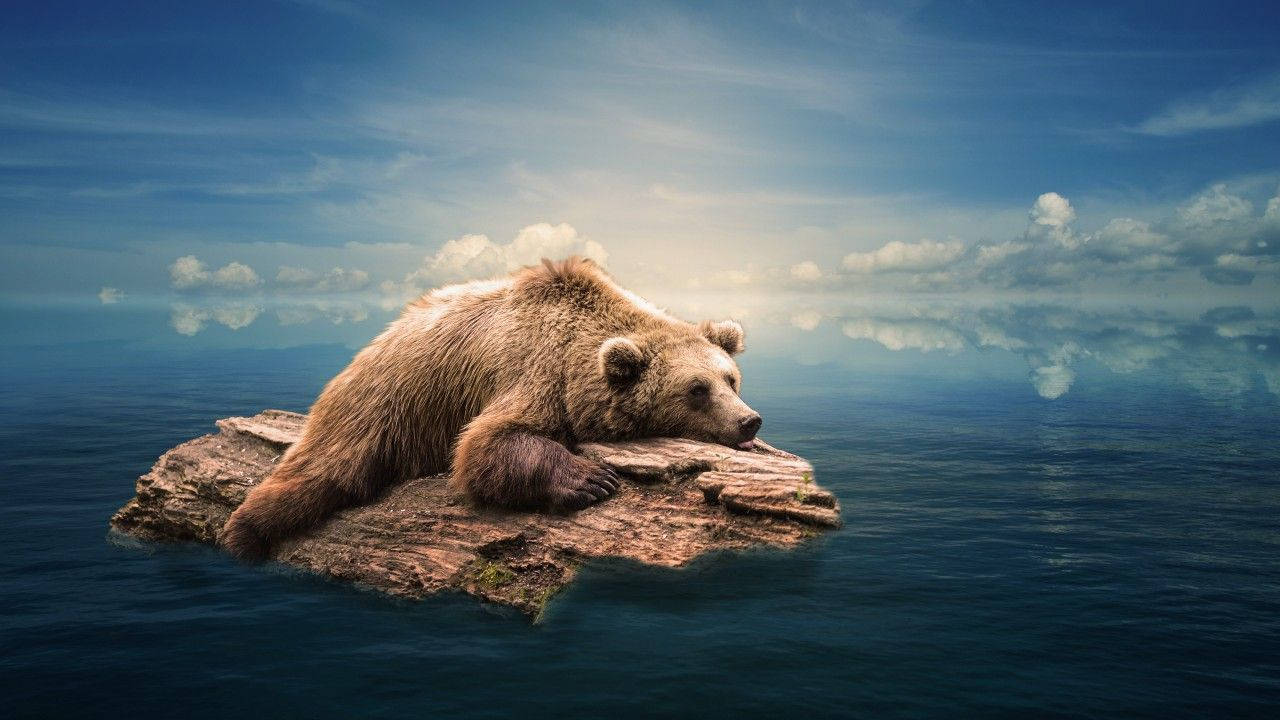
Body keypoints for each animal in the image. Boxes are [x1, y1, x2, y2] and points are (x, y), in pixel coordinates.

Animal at [220, 257, 762, 561]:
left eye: (730, 379)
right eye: (696, 389)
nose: (748, 420)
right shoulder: (533, 371)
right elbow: (487, 443)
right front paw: (589, 479)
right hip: (382, 404)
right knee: (324, 470)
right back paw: (245, 530)